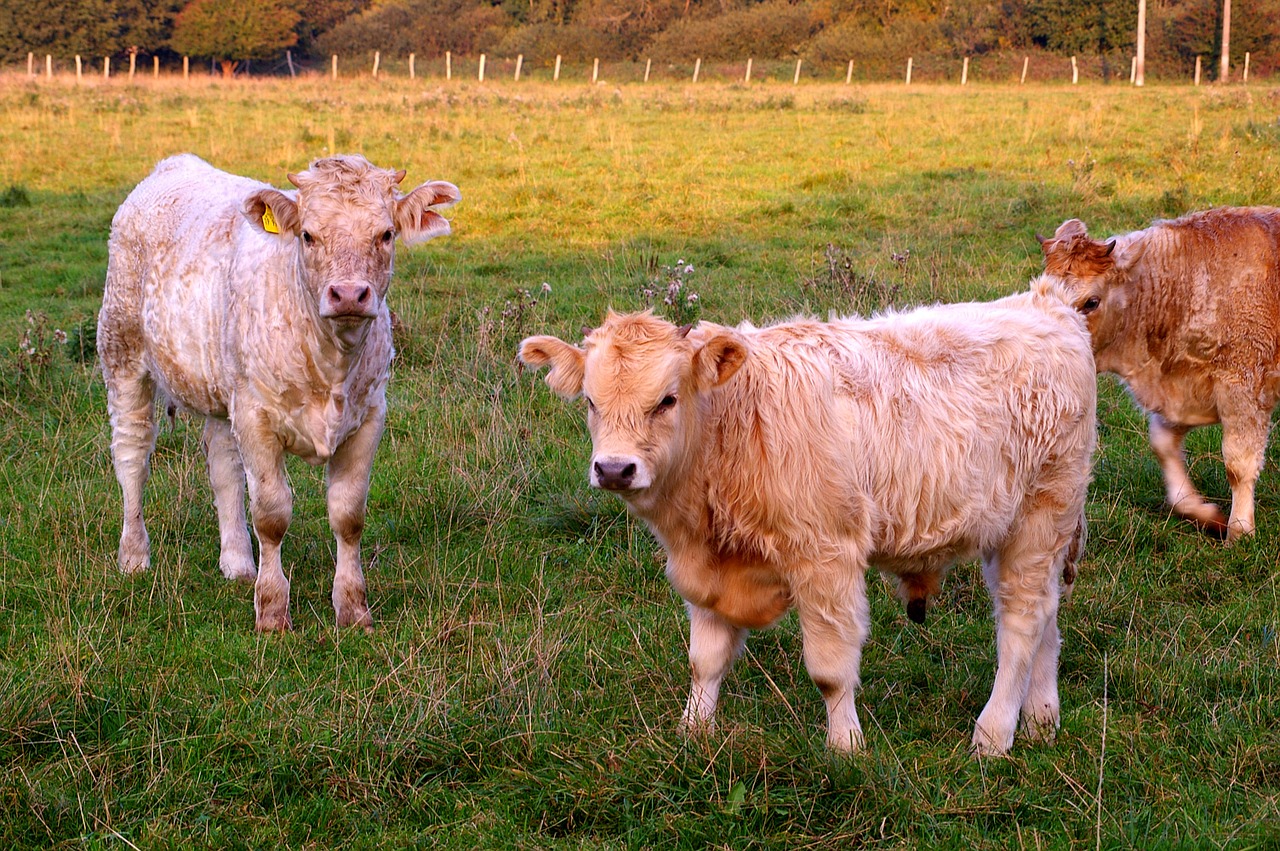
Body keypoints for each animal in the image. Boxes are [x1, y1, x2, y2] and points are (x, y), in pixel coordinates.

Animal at [98, 152, 460, 629]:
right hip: (121, 351)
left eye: (385, 234)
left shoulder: (369, 415)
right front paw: (271, 611)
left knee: (223, 466)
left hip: (224, 387)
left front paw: (353, 609)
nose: (349, 294)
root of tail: (174, 163)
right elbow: (271, 514)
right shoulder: (256, 417)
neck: (331, 365)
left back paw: (237, 562)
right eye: (308, 235)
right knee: (132, 455)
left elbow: (348, 514)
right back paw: (134, 556)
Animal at [1039, 207, 1280, 537]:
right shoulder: (1181, 394)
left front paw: (1240, 530)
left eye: (1091, 302)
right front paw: (1203, 513)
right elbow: (1162, 445)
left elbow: (1238, 465)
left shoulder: (1243, 386)